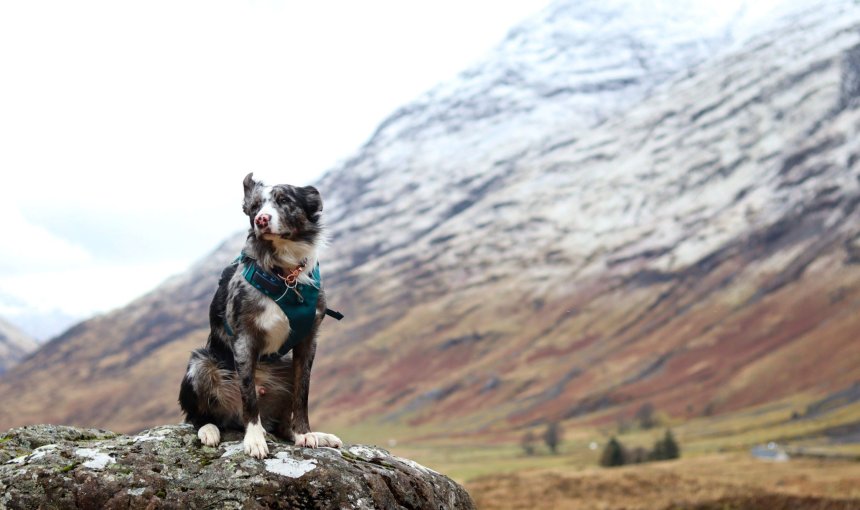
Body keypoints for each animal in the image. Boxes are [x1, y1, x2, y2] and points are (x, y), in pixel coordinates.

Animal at [180, 172, 340, 458]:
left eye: (284, 200)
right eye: (255, 207)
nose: (261, 220)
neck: (285, 274)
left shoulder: (307, 342)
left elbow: (302, 394)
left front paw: (305, 433)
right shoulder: (245, 339)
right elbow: (249, 397)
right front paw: (254, 439)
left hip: (284, 366)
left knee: (282, 425)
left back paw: (310, 435)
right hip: (200, 363)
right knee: (198, 417)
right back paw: (209, 430)